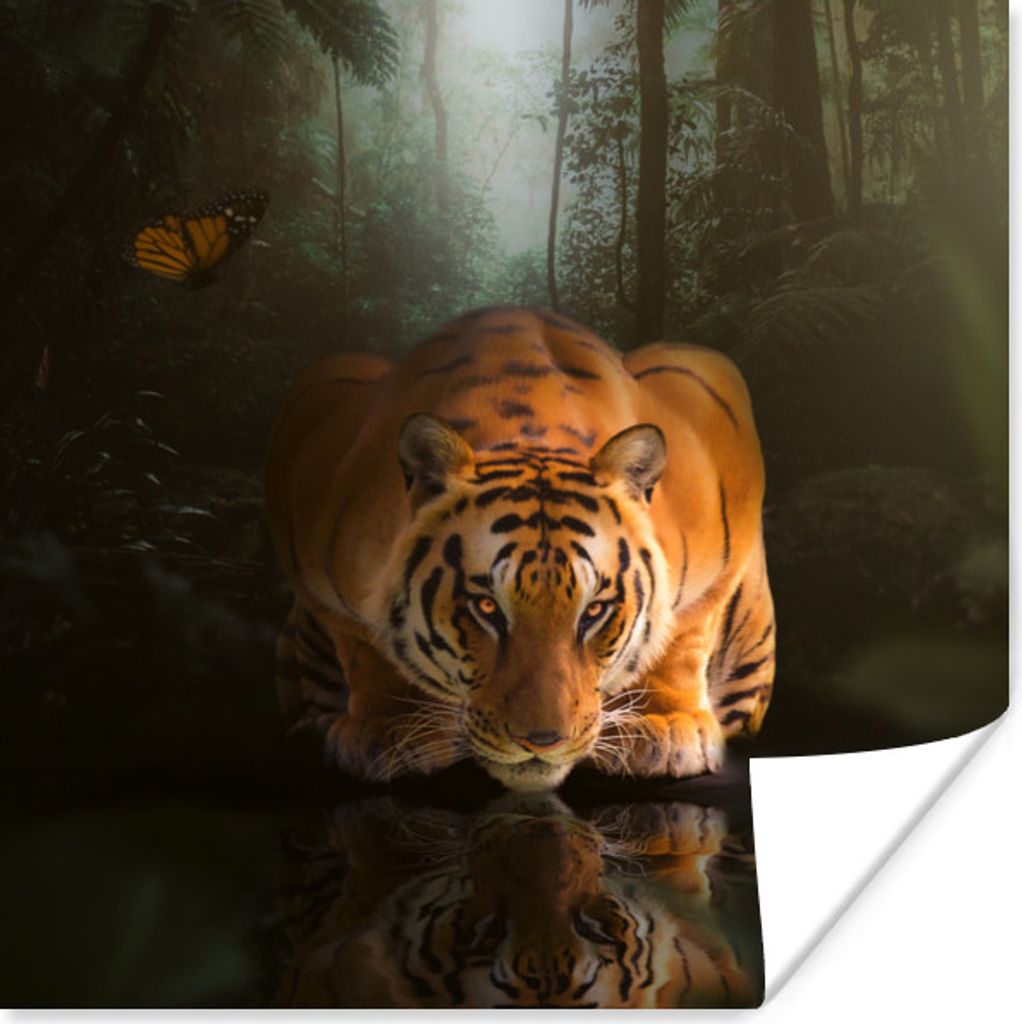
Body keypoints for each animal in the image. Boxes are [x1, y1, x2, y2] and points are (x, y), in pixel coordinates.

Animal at [265, 306, 774, 790]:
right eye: (486, 607)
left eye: (594, 611)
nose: (543, 741)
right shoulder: (314, 550)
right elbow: (366, 647)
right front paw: (391, 731)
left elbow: (682, 635)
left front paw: (663, 727)